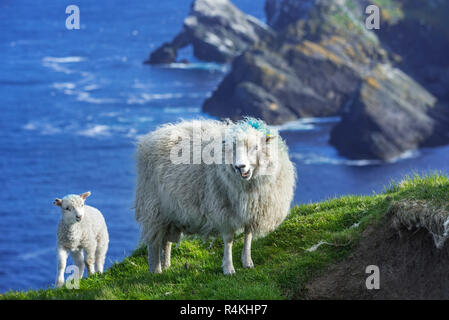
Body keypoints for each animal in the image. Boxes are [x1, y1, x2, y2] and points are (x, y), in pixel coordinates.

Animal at [135, 117, 296, 276]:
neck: (248, 185)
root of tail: (152, 136)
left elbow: (248, 235)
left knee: (166, 241)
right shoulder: (223, 210)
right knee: (154, 242)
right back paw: (156, 270)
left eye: (256, 147)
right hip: (154, 208)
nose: (240, 167)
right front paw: (228, 268)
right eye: (232, 149)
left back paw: (166, 266)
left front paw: (247, 262)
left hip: (171, 213)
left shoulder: (251, 211)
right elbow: (229, 239)